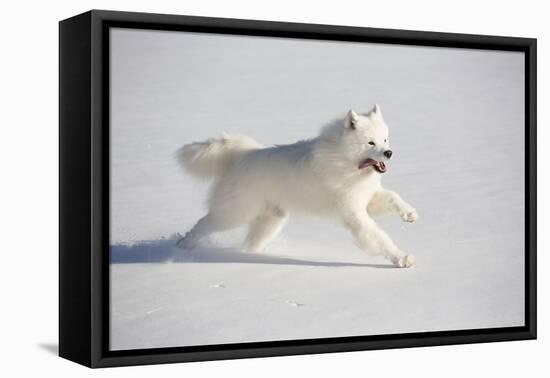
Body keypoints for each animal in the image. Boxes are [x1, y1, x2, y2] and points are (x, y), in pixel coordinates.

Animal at [175, 105, 420, 268]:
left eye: (385, 140)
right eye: (371, 143)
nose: (389, 153)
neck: (345, 161)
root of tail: (241, 156)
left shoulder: (366, 199)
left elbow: (393, 196)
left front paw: (410, 214)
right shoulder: (354, 215)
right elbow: (379, 238)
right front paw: (402, 258)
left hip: (270, 222)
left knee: (249, 244)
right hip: (235, 214)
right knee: (203, 224)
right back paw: (183, 245)